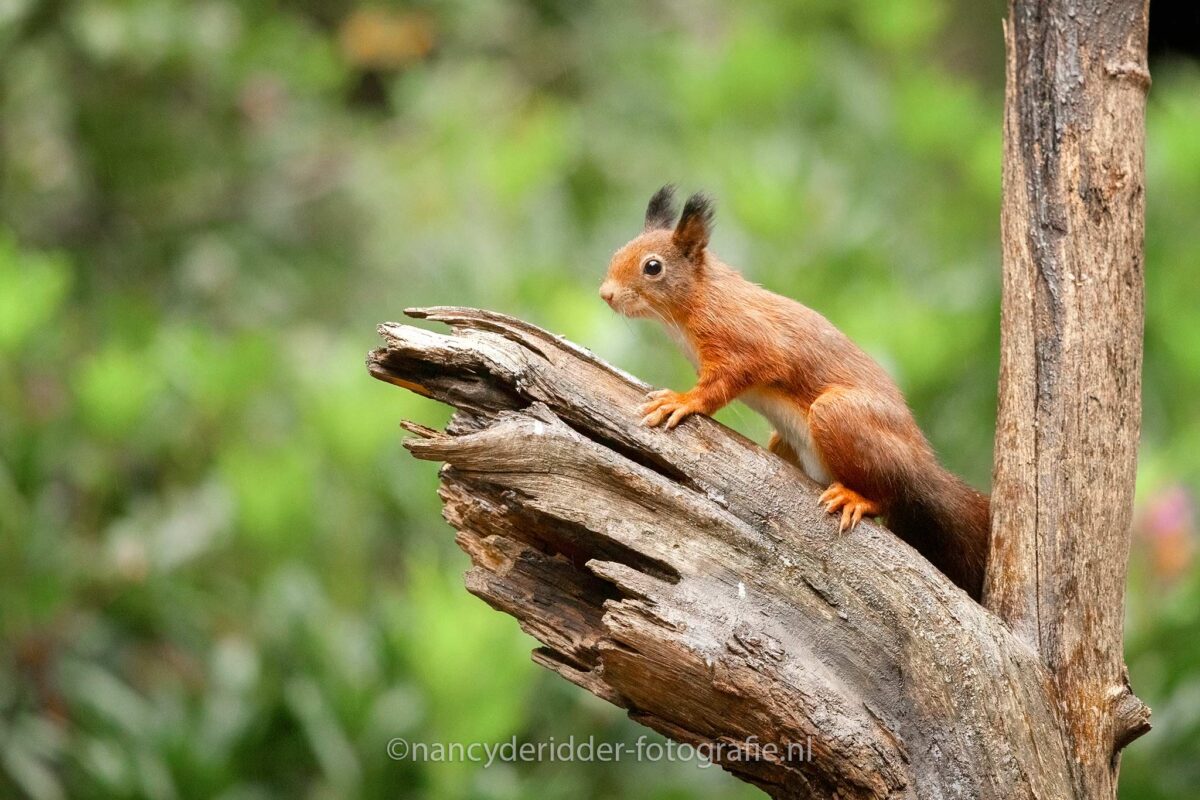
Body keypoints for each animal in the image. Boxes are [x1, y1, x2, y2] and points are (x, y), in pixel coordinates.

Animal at [599, 186, 989, 600]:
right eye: (617, 253)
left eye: (652, 267)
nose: (605, 294)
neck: (699, 298)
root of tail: (922, 465)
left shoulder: (747, 343)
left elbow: (722, 384)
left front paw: (683, 401)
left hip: (840, 416)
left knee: (890, 494)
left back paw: (857, 497)